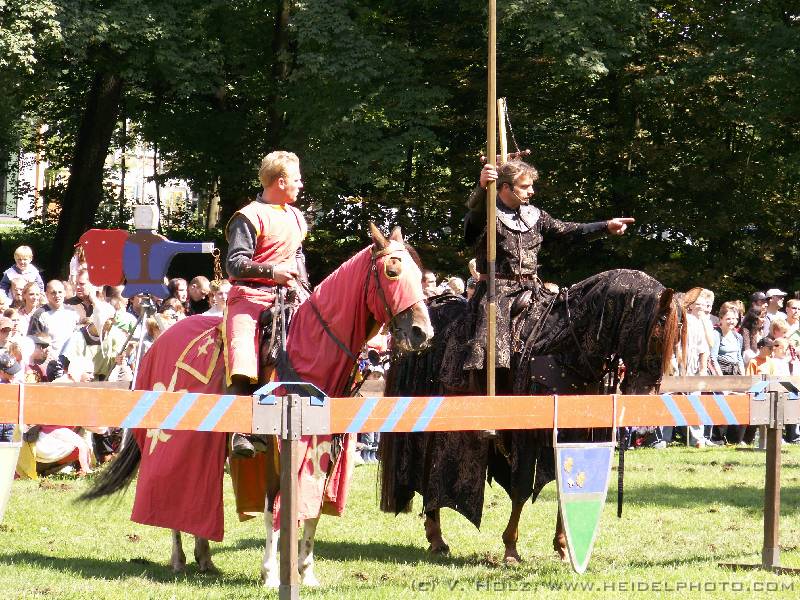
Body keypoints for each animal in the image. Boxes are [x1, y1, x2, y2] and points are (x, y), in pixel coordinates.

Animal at [82, 224, 433, 586]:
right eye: (392, 271)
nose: (422, 332)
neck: (309, 350)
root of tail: (159, 340)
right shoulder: (277, 453)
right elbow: (273, 510)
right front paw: (271, 573)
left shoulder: (323, 454)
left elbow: (311, 513)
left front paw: (306, 571)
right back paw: (179, 557)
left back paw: (205, 556)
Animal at [380, 268, 684, 564]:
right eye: (656, 336)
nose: (644, 400)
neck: (563, 345)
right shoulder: (526, 433)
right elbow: (522, 487)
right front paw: (511, 548)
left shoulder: (571, 432)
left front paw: (562, 546)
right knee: (425, 471)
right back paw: (436, 536)